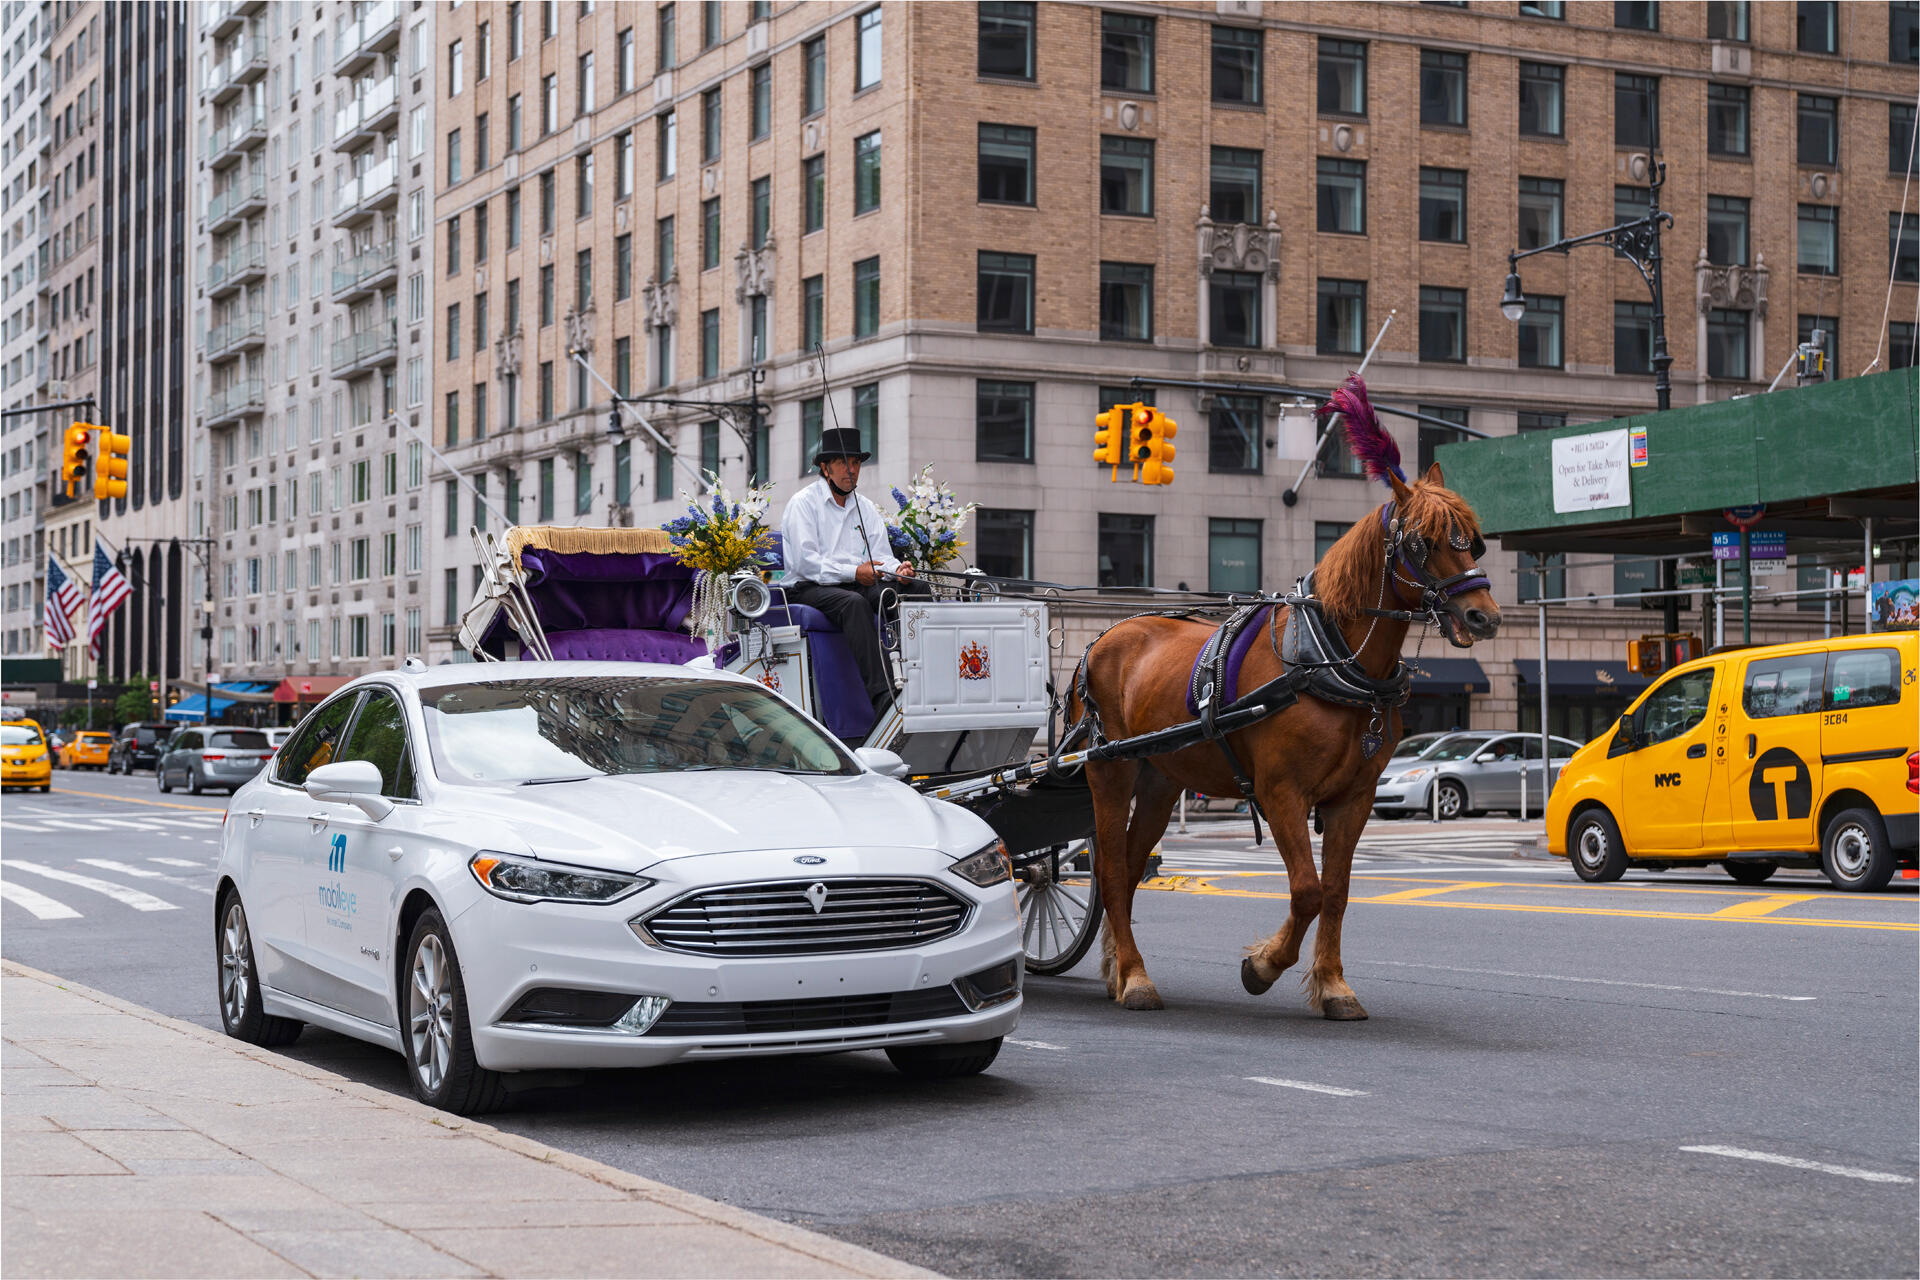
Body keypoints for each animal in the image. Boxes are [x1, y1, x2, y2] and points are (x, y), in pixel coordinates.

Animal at [1067, 379, 1497, 1020]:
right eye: (1423, 543)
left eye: (1474, 542)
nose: (1484, 616)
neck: (1334, 662)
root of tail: (1101, 639)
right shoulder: (1281, 791)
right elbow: (1307, 889)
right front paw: (1263, 966)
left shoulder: (1354, 797)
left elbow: (1337, 892)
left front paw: (1334, 986)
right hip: (1110, 772)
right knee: (1113, 872)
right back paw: (1137, 978)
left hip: (1161, 779)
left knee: (1130, 864)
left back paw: (1122, 971)